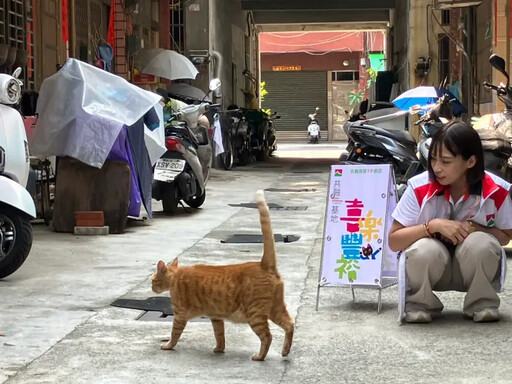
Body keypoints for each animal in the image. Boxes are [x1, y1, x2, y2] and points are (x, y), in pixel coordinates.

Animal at [151, 190, 292, 362]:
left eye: (153, 280)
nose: (151, 287)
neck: (175, 277)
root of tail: (264, 264)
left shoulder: (179, 315)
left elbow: (174, 333)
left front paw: (168, 345)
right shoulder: (216, 317)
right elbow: (220, 335)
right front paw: (219, 349)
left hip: (255, 314)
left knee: (267, 336)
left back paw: (260, 356)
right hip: (275, 309)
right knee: (290, 325)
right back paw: (285, 351)